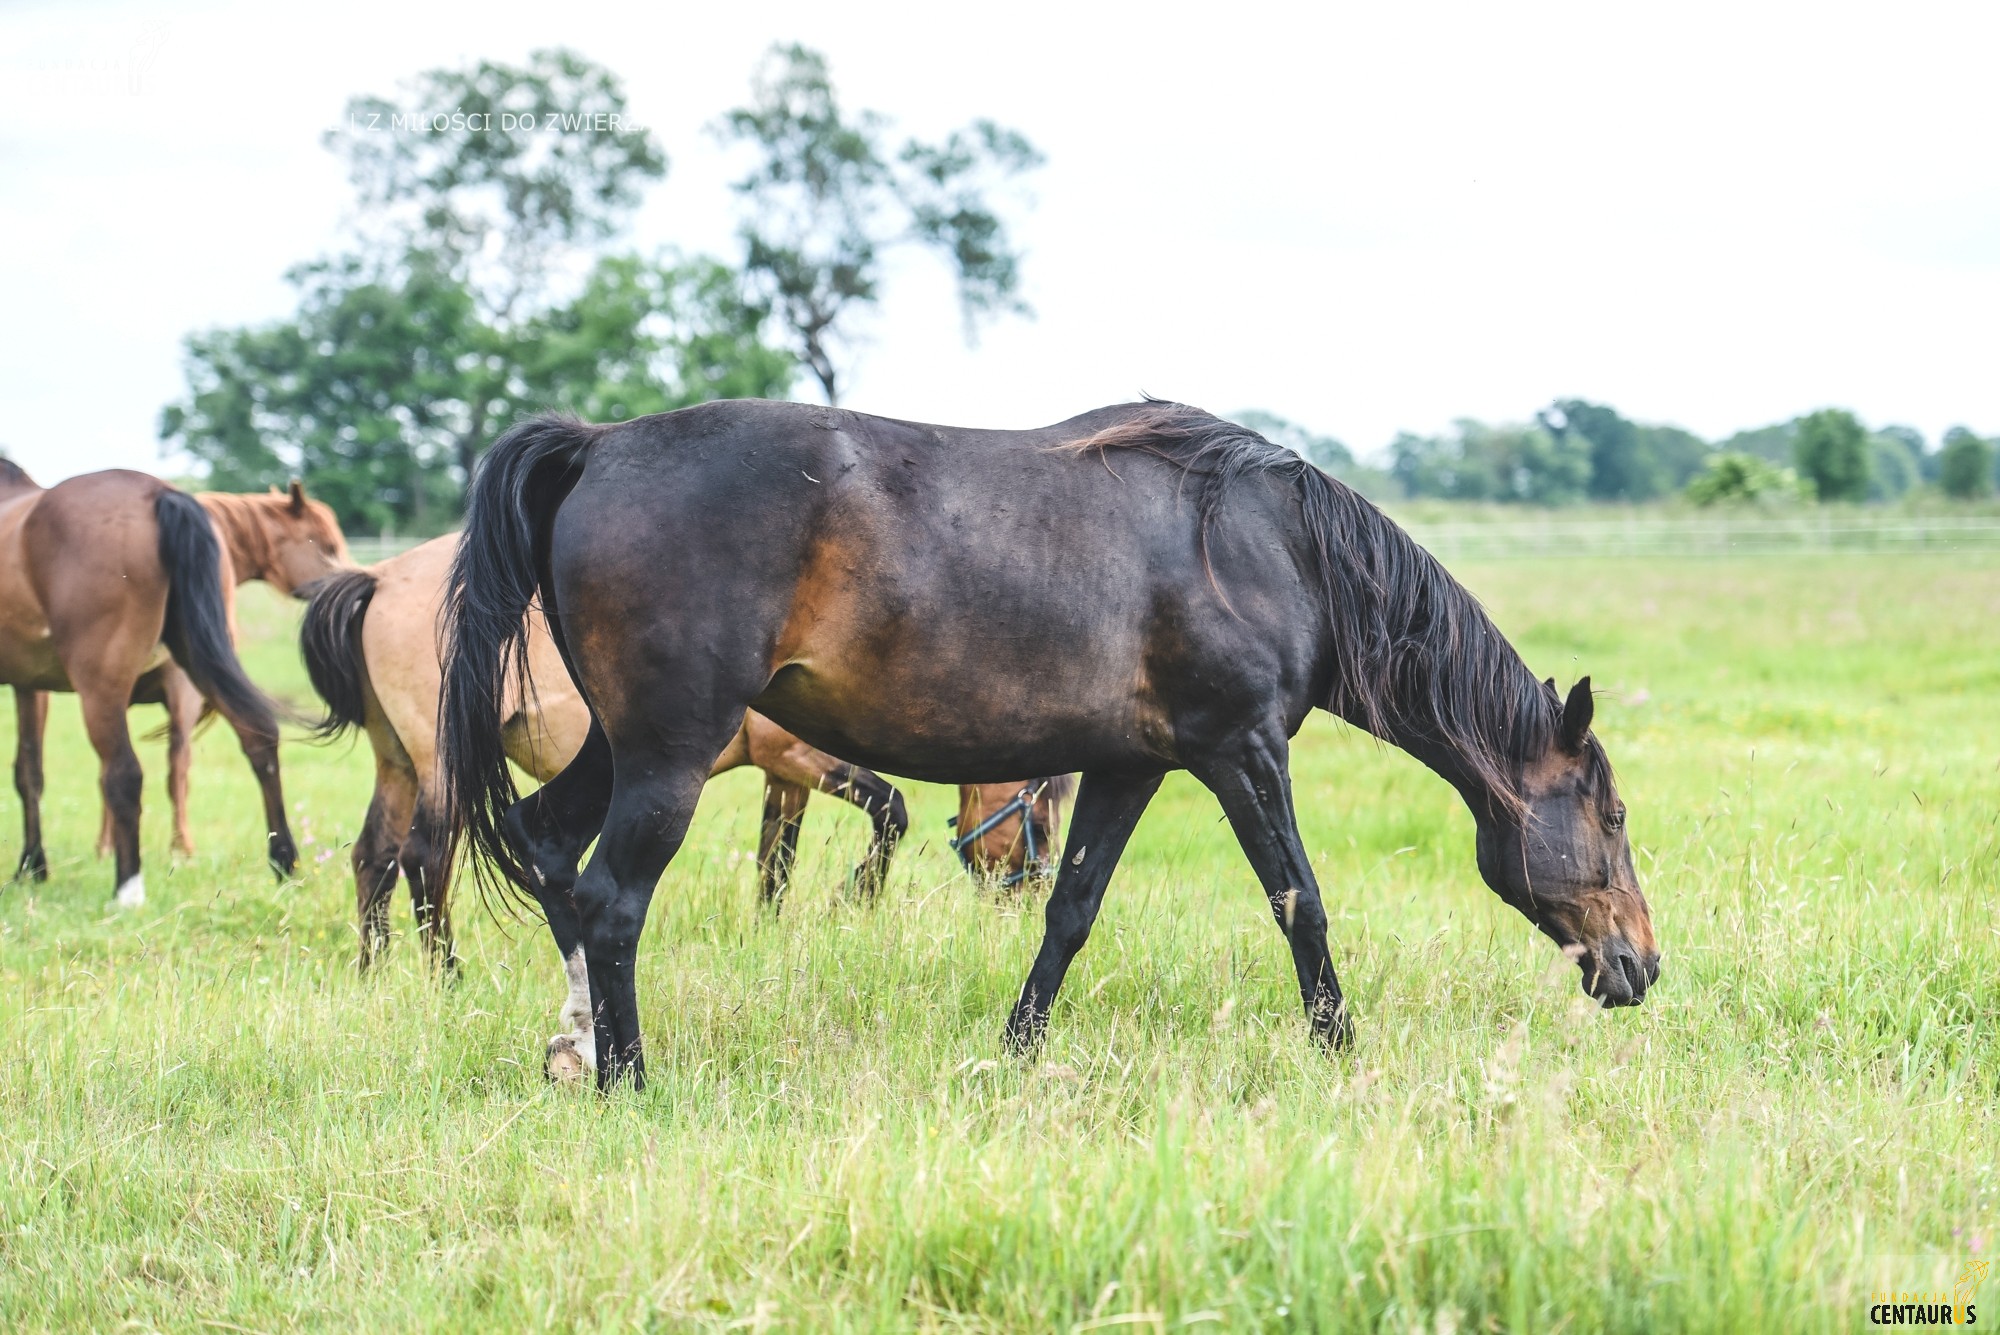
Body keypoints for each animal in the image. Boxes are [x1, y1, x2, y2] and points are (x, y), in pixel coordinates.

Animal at [0, 463, 318, 903]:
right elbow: (29, 771)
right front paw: (32, 866)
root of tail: (159, 494)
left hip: (102, 688)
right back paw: (284, 863)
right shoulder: (29, 684)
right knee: (258, 733)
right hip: (196, 657)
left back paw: (128, 889)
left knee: (124, 773)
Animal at [438, 395, 1656, 1087]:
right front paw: (1340, 1050)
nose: (1640, 964)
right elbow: (1299, 902)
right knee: (610, 900)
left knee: (549, 853)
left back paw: (571, 1048)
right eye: (1610, 814)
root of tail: (597, 448)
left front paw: (1017, 1053)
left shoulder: (1130, 765)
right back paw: (627, 1078)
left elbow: (1069, 910)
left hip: (621, 749)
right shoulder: (1243, 752)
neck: (1274, 547)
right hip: (669, 759)